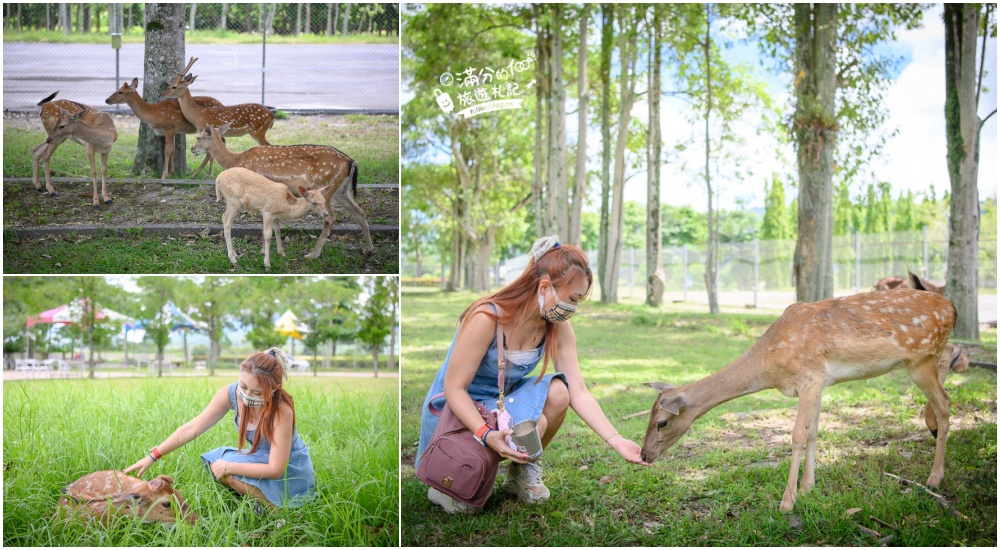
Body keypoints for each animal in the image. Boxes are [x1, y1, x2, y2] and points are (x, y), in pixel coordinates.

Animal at [192, 122, 376, 256]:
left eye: (198, 137)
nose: (192, 150)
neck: (236, 160)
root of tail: (351, 162)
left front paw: (263, 251)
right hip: (342, 191)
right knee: (360, 212)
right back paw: (368, 249)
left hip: (325, 189)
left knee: (330, 218)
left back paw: (313, 254)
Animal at [644, 274, 956, 516]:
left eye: (662, 422)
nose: (645, 455)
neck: (770, 366)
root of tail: (952, 307)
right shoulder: (819, 383)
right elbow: (813, 433)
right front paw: (807, 487)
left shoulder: (809, 379)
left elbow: (796, 435)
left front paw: (787, 502)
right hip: (927, 357)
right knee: (949, 359)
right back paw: (930, 426)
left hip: (919, 359)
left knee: (946, 402)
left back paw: (934, 478)